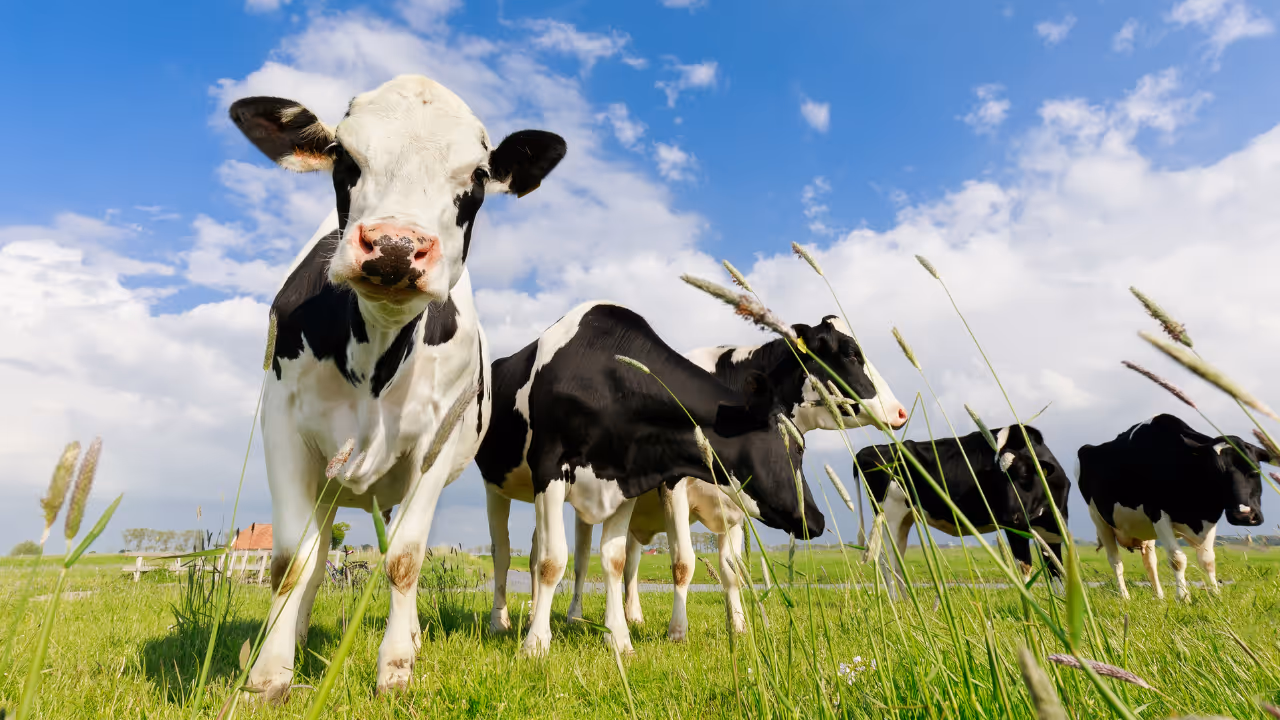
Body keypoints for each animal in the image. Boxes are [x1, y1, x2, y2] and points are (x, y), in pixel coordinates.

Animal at [228, 74, 565, 699]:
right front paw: (268, 673)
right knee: (315, 559)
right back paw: (292, 636)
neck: (376, 352)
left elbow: (405, 560)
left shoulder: (436, 442)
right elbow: (291, 562)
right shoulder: (283, 425)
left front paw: (396, 668)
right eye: (344, 155)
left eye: (478, 175)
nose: (394, 246)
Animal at [476, 301, 825, 656]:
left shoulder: (626, 482)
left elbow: (614, 561)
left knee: (538, 552)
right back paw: (500, 622)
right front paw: (535, 644)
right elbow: (553, 560)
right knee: (503, 552)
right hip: (495, 485)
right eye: (796, 448)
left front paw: (619, 639)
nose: (817, 519)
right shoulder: (549, 470)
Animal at [563, 315, 908, 641]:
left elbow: (732, 570)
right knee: (581, 558)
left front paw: (739, 627)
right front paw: (678, 631)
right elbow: (683, 563)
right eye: (850, 353)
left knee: (631, 560)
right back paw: (575, 618)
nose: (901, 411)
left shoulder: (738, 504)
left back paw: (632, 616)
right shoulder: (674, 487)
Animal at [858, 425, 1071, 593]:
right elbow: (1025, 566)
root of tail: (870, 450)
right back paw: (899, 604)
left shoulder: (1053, 530)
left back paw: (908, 601)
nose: (1010, 517)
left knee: (897, 558)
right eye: (997, 478)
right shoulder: (1017, 530)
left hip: (905, 518)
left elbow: (1056, 568)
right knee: (887, 558)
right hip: (890, 515)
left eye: (1026, 473)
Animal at [1078, 414, 1271, 601]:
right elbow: (1177, 559)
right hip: (1099, 520)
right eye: (1216, 471)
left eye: (1256, 469)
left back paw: (1159, 596)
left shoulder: (1209, 519)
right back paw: (1125, 596)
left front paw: (1216, 594)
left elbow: (1208, 560)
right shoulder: (1158, 514)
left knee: (1150, 561)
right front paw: (1183, 597)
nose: (1243, 515)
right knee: (1115, 561)